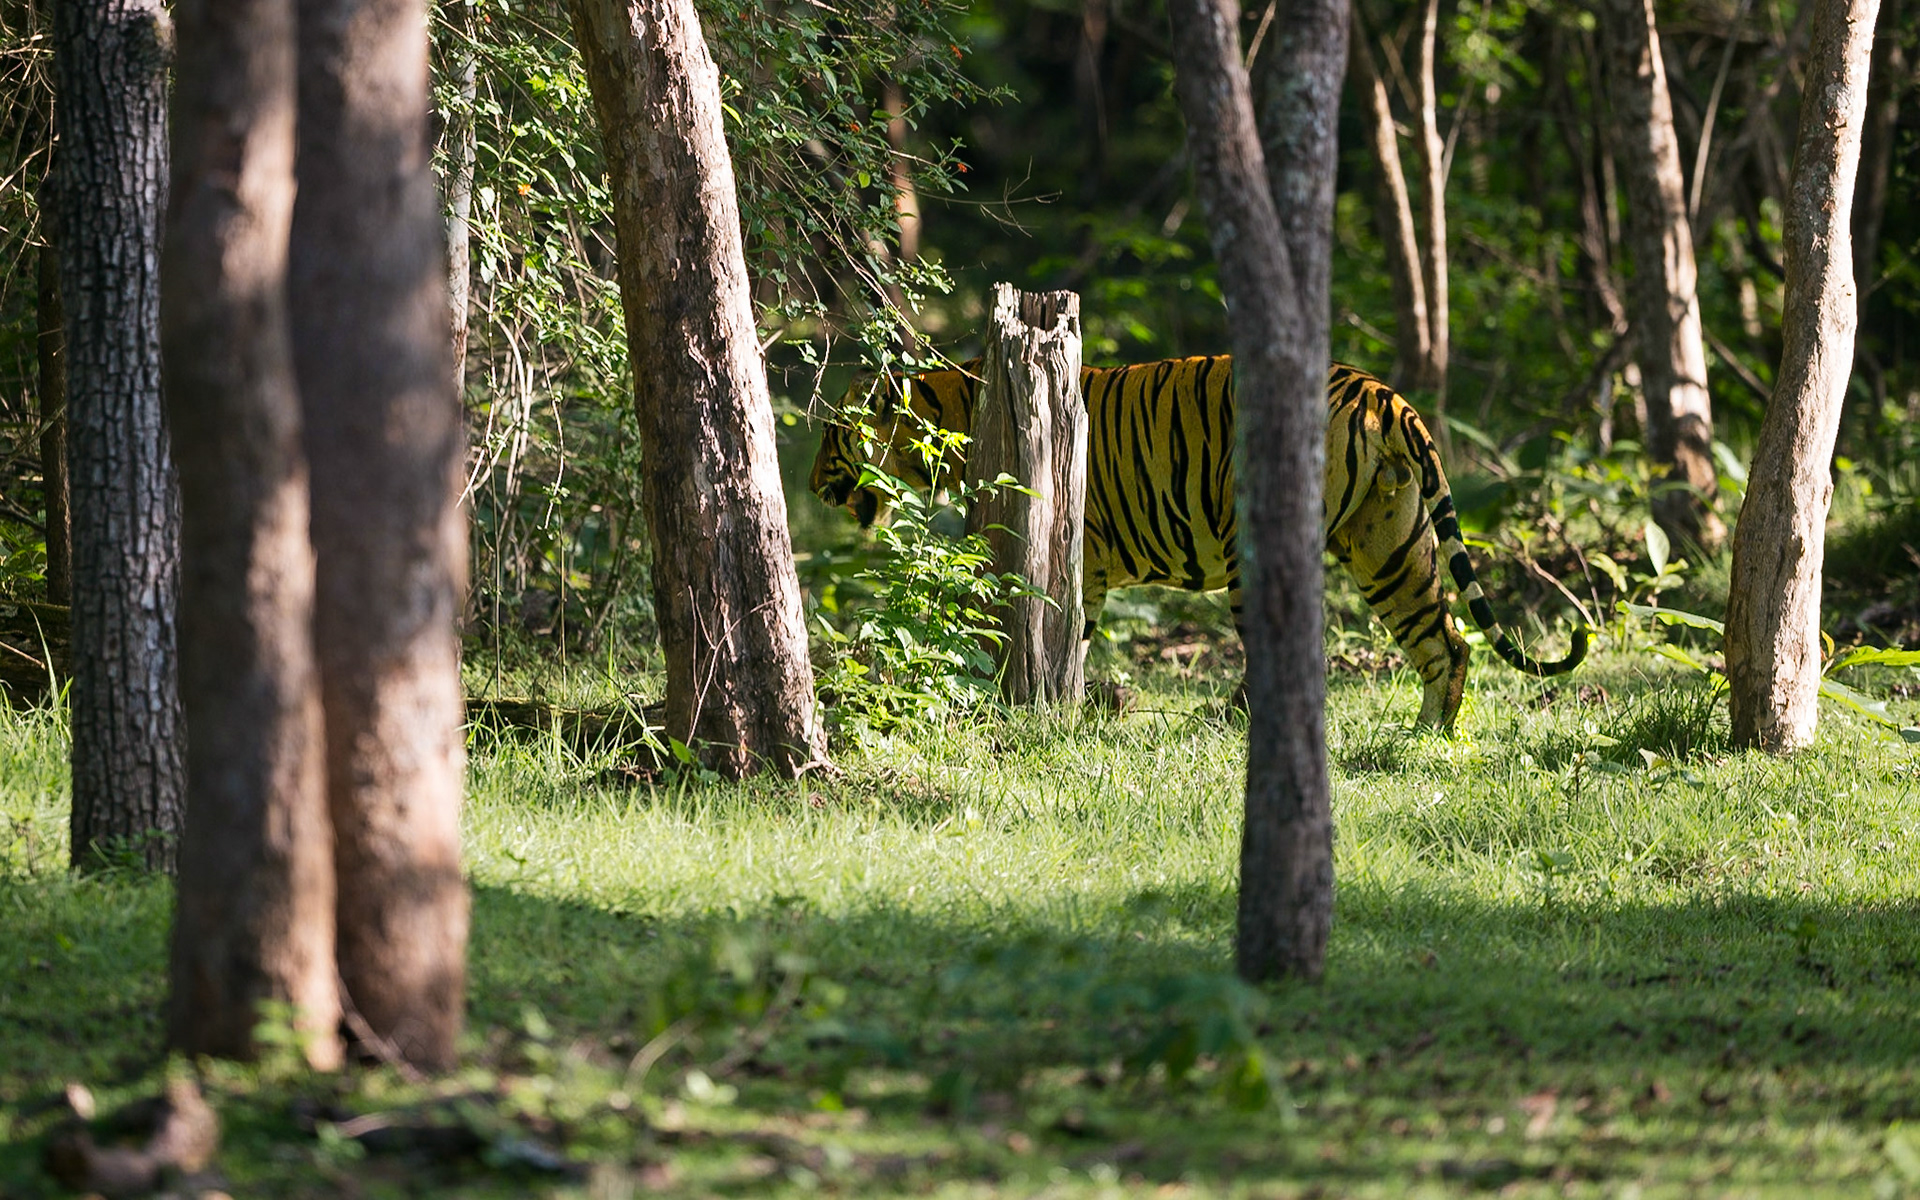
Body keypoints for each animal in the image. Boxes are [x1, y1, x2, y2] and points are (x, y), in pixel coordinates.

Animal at [808, 355, 1588, 729]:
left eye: (830, 434)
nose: (812, 483)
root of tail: (1380, 392)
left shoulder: (1073, 551)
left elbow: (1038, 629)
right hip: (1390, 543)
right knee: (1447, 640)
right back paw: (1427, 738)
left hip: (1267, 544)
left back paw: (1236, 723)